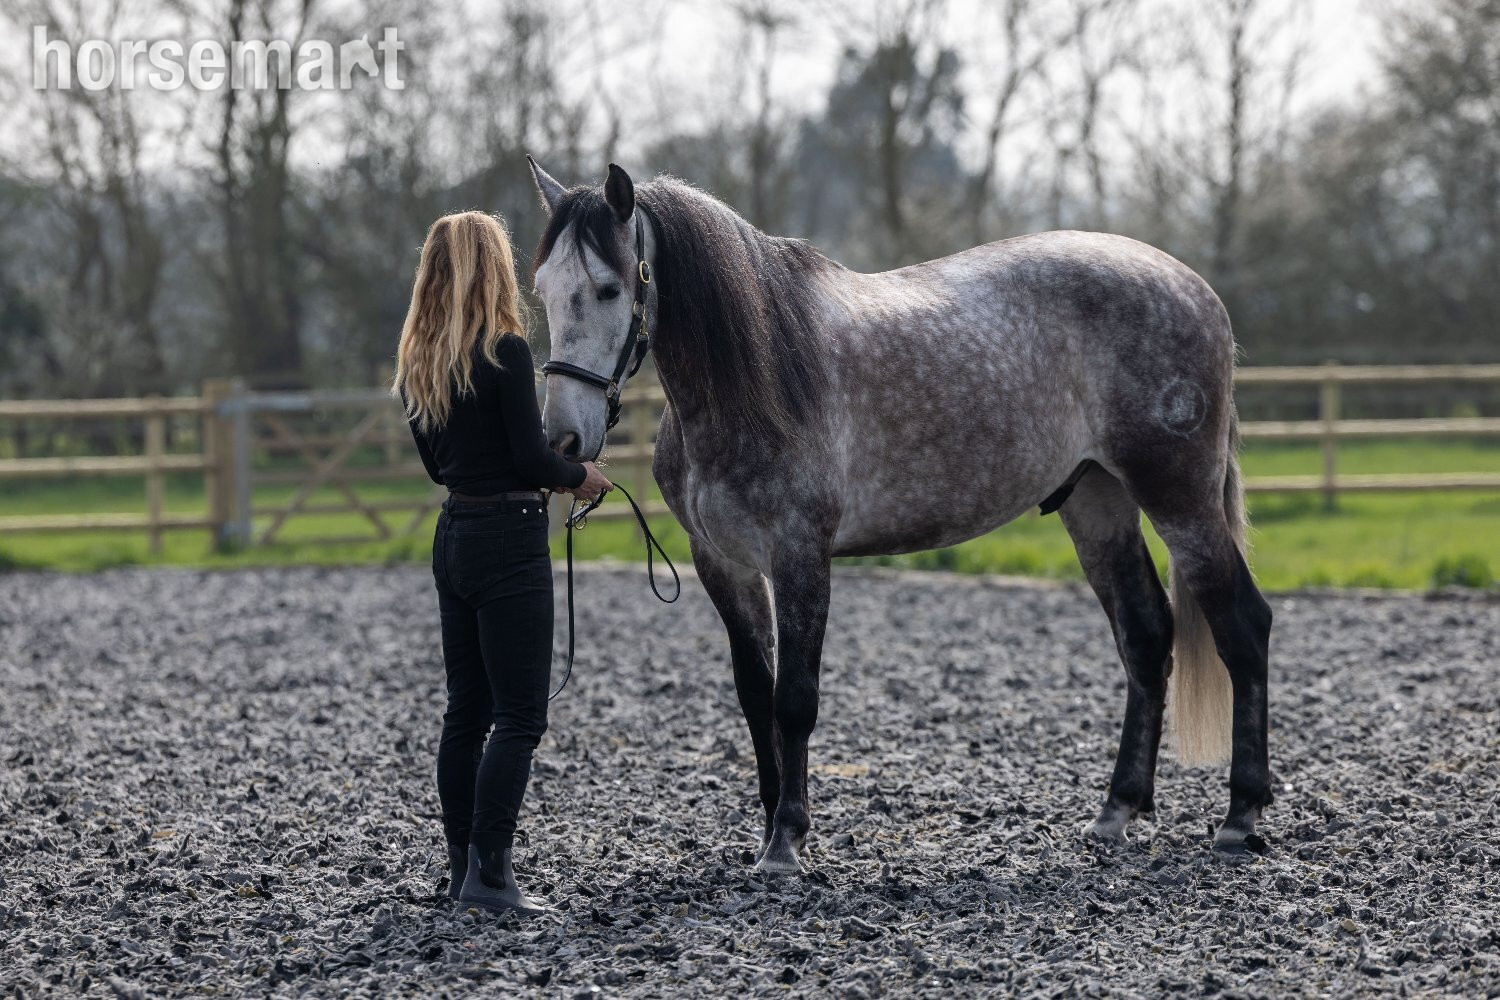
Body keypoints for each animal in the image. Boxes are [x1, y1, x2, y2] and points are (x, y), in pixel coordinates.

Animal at [525, 157, 1273, 873]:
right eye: (542, 289)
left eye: (609, 289)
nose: (561, 443)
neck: (757, 380)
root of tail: (1196, 290)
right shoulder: (724, 563)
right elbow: (755, 695)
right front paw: (768, 828)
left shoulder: (800, 555)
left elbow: (794, 698)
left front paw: (787, 842)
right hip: (1097, 500)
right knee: (1146, 637)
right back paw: (1117, 810)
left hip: (1179, 498)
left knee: (1243, 625)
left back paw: (1240, 818)